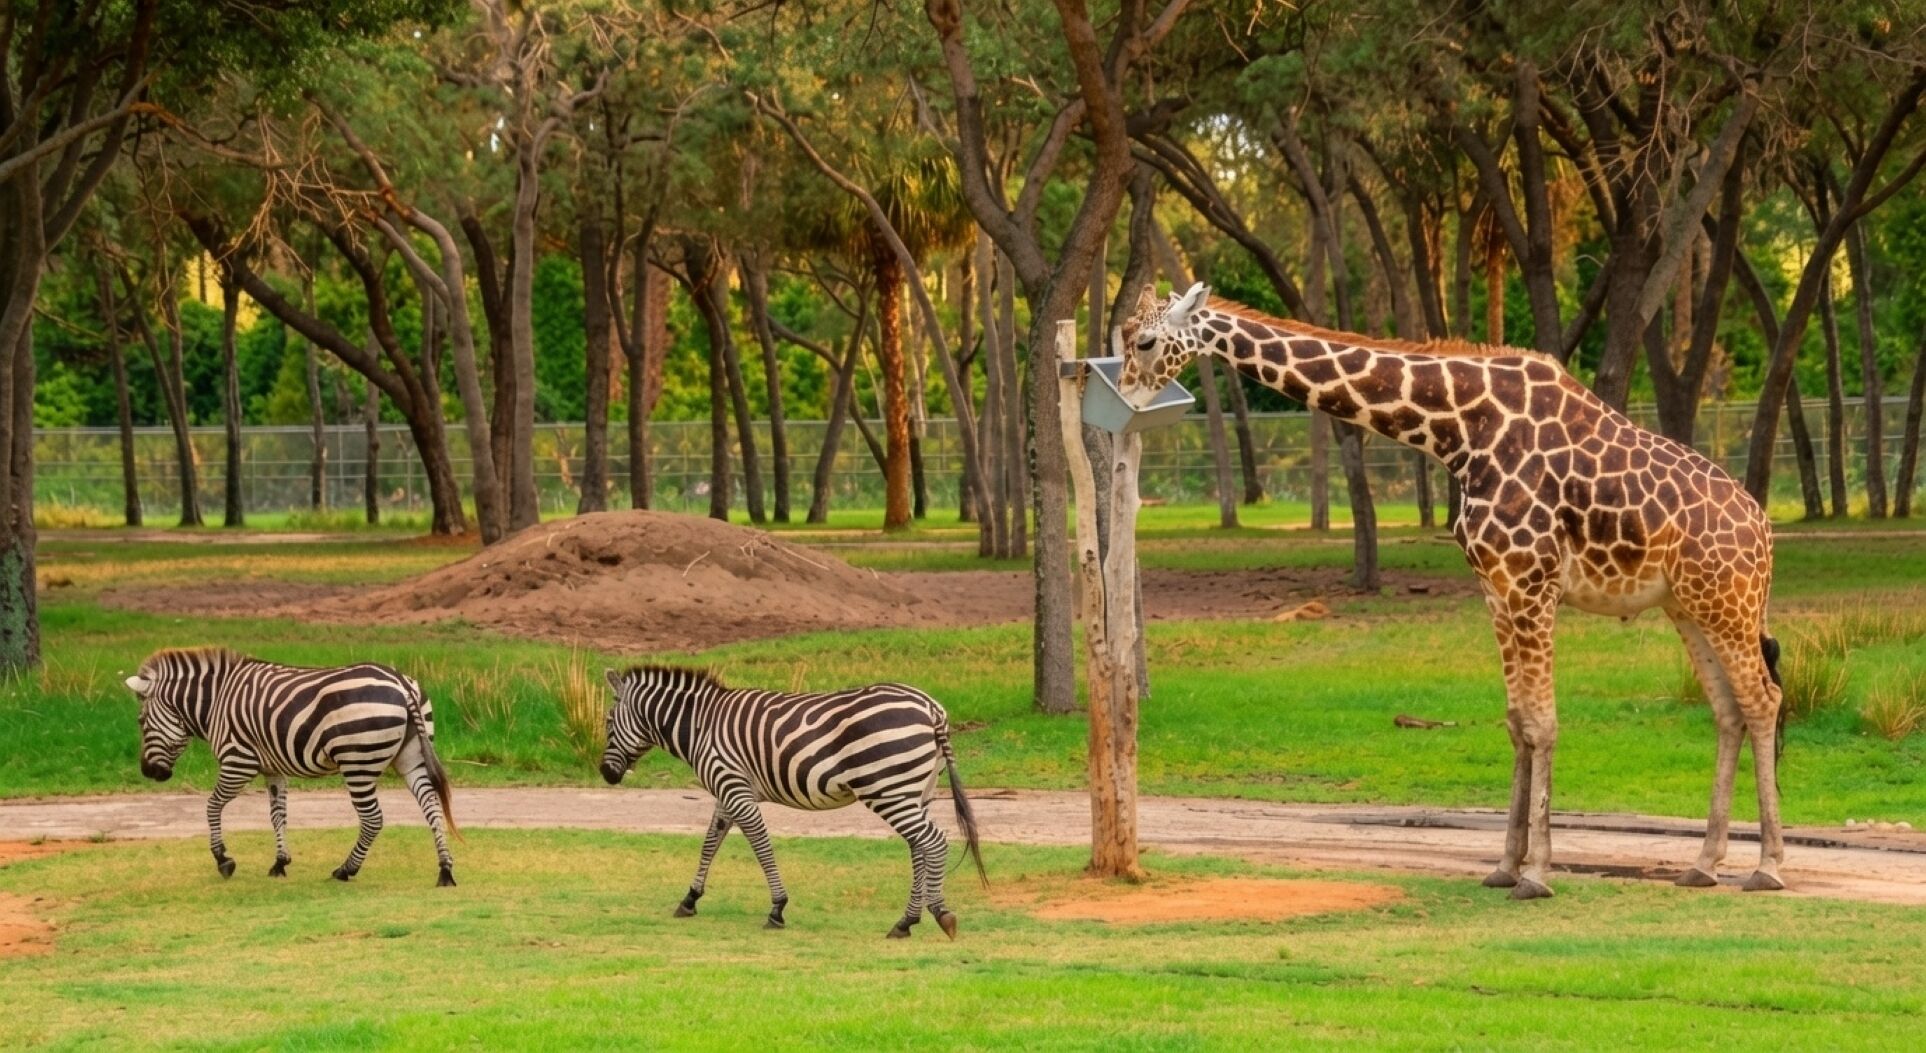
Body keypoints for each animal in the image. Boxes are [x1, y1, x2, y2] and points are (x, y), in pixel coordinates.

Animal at [124, 647, 458, 887]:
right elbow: (278, 814)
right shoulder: (273, 768)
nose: (148, 772)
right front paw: (280, 862)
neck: (216, 702)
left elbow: (212, 806)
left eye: (140, 722)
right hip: (411, 756)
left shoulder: (238, 761)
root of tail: (399, 682)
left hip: (358, 762)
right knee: (431, 805)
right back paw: (445, 870)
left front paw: (223, 859)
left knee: (373, 819)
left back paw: (346, 870)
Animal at [599, 666, 986, 939]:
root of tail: (931, 707)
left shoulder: (734, 786)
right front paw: (690, 899)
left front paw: (777, 908)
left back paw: (932, 915)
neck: (700, 726)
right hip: (915, 790)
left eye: (607, 722)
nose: (605, 773)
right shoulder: (727, 791)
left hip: (887, 788)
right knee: (919, 846)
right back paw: (909, 921)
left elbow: (760, 845)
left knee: (932, 842)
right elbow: (710, 842)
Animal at [1117, 283, 1784, 899]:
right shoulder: (1496, 586)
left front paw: (1537, 875)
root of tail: (1762, 529)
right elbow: (1517, 722)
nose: (1125, 398)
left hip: (1726, 602)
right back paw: (1704, 864)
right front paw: (1505, 866)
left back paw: (1766, 867)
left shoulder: (1531, 581)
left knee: (1763, 700)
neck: (1458, 429)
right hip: (1688, 607)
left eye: (1144, 341)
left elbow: (1543, 723)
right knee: (1728, 710)